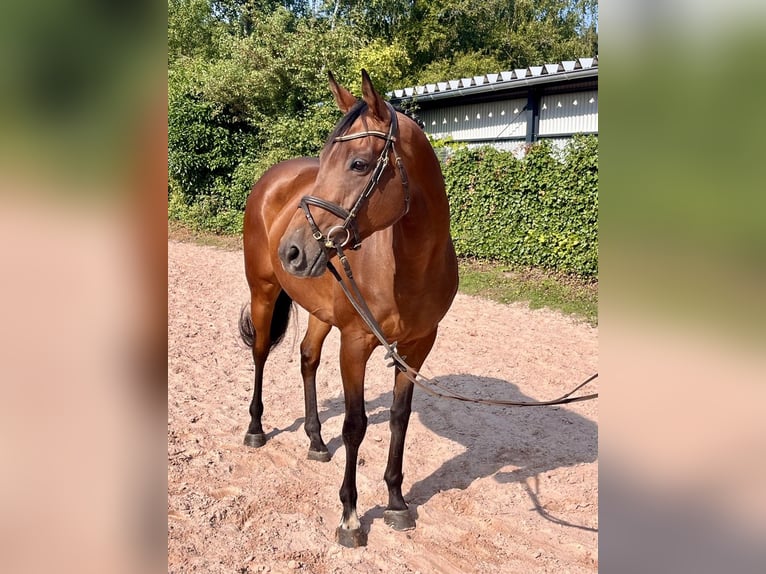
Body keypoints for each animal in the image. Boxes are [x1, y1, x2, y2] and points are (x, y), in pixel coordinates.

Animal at [237, 72, 460, 548]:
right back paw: (255, 430)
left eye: (358, 164)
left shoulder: (417, 347)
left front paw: (396, 502)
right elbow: (356, 425)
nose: (292, 251)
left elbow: (398, 419)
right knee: (261, 353)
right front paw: (351, 517)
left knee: (307, 357)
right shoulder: (355, 344)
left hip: (321, 312)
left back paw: (316, 440)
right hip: (263, 293)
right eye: (324, 161)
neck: (409, 266)